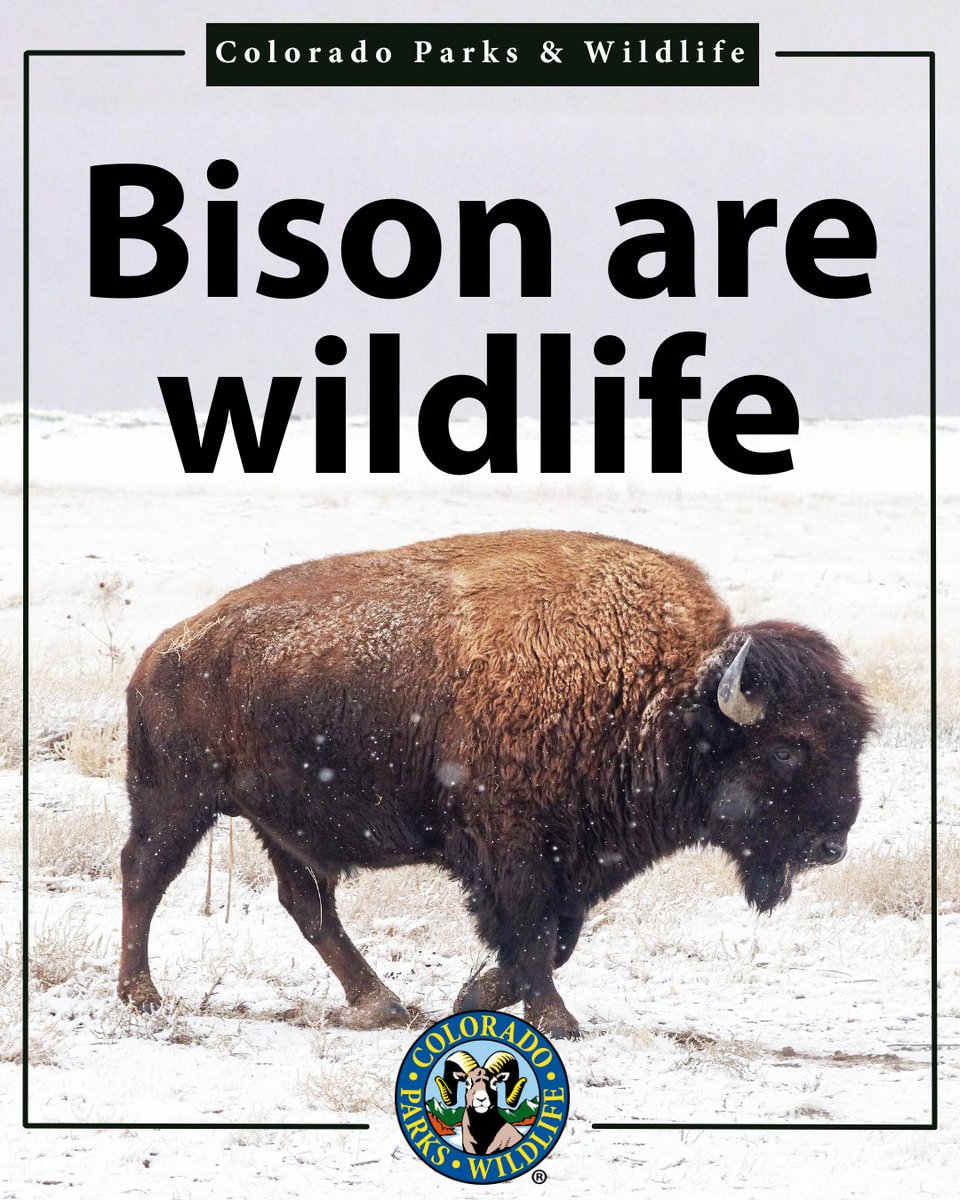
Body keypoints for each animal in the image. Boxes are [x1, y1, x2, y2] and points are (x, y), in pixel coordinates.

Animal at [118, 530, 873, 1038]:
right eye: (789, 748)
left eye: (855, 739)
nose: (831, 845)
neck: (656, 696)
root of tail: (161, 651)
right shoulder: (514, 851)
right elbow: (534, 935)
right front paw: (555, 1019)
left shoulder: (574, 858)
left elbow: (556, 936)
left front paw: (472, 995)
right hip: (176, 800)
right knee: (144, 875)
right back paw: (141, 995)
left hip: (275, 824)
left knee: (307, 904)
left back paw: (379, 1002)